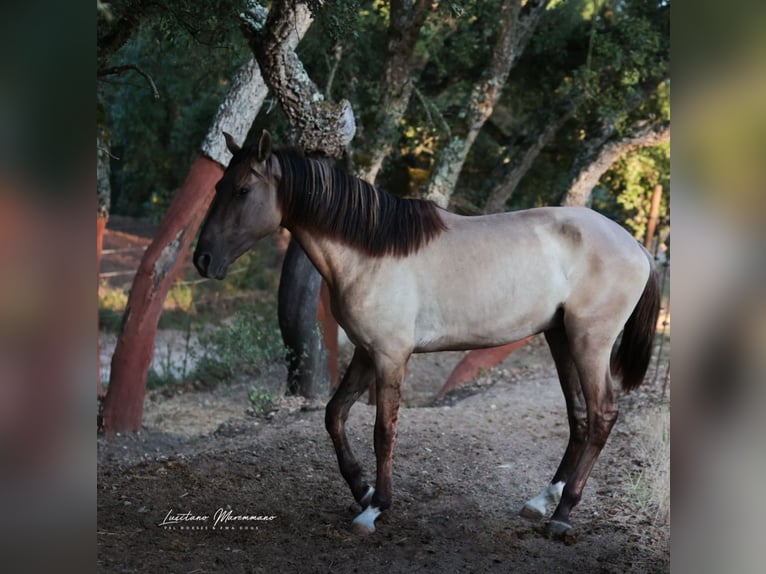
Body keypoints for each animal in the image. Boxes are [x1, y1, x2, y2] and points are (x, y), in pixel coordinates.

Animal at [193, 131, 661, 537]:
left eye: (242, 191)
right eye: (218, 185)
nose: (203, 259)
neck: (371, 251)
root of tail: (636, 246)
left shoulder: (389, 356)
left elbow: (384, 430)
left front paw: (376, 508)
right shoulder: (365, 352)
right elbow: (334, 414)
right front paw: (362, 489)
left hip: (590, 342)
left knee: (601, 416)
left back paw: (562, 516)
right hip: (560, 337)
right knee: (579, 417)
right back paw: (542, 501)